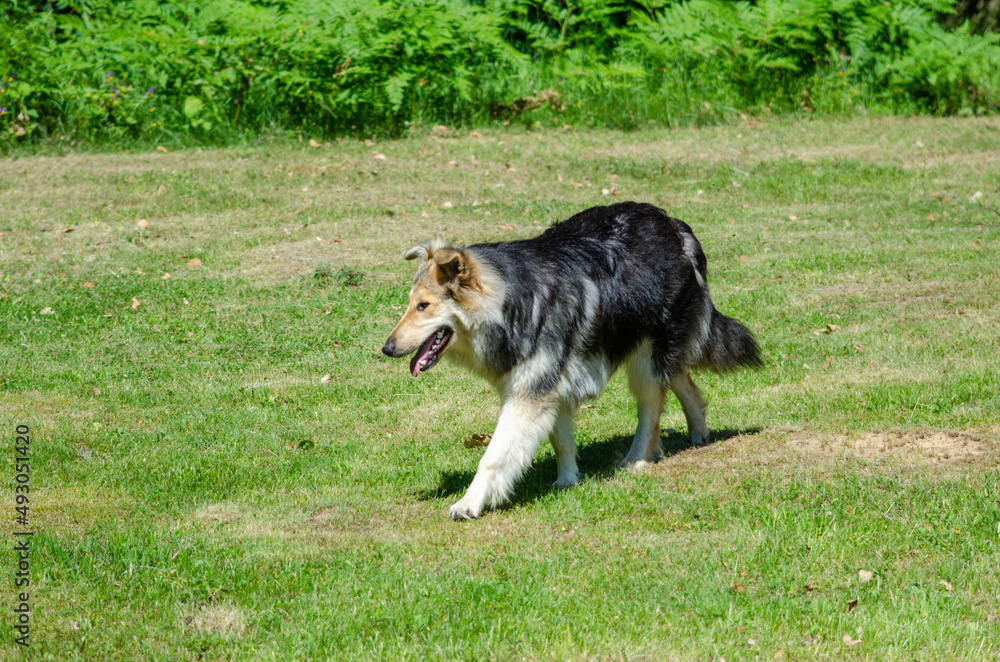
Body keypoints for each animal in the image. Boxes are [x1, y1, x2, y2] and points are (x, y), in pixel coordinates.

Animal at [380, 200, 756, 520]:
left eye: (423, 306)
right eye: (410, 303)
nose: (387, 348)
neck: (513, 302)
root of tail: (675, 226)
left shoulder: (528, 396)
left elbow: (493, 457)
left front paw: (470, 503)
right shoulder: (550, 387)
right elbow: (560, 441)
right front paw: (567, 479)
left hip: (646, 362)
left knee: (651, 409)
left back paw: (636, 458)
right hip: (650, 353)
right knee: (683, 380)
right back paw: (699, 432)